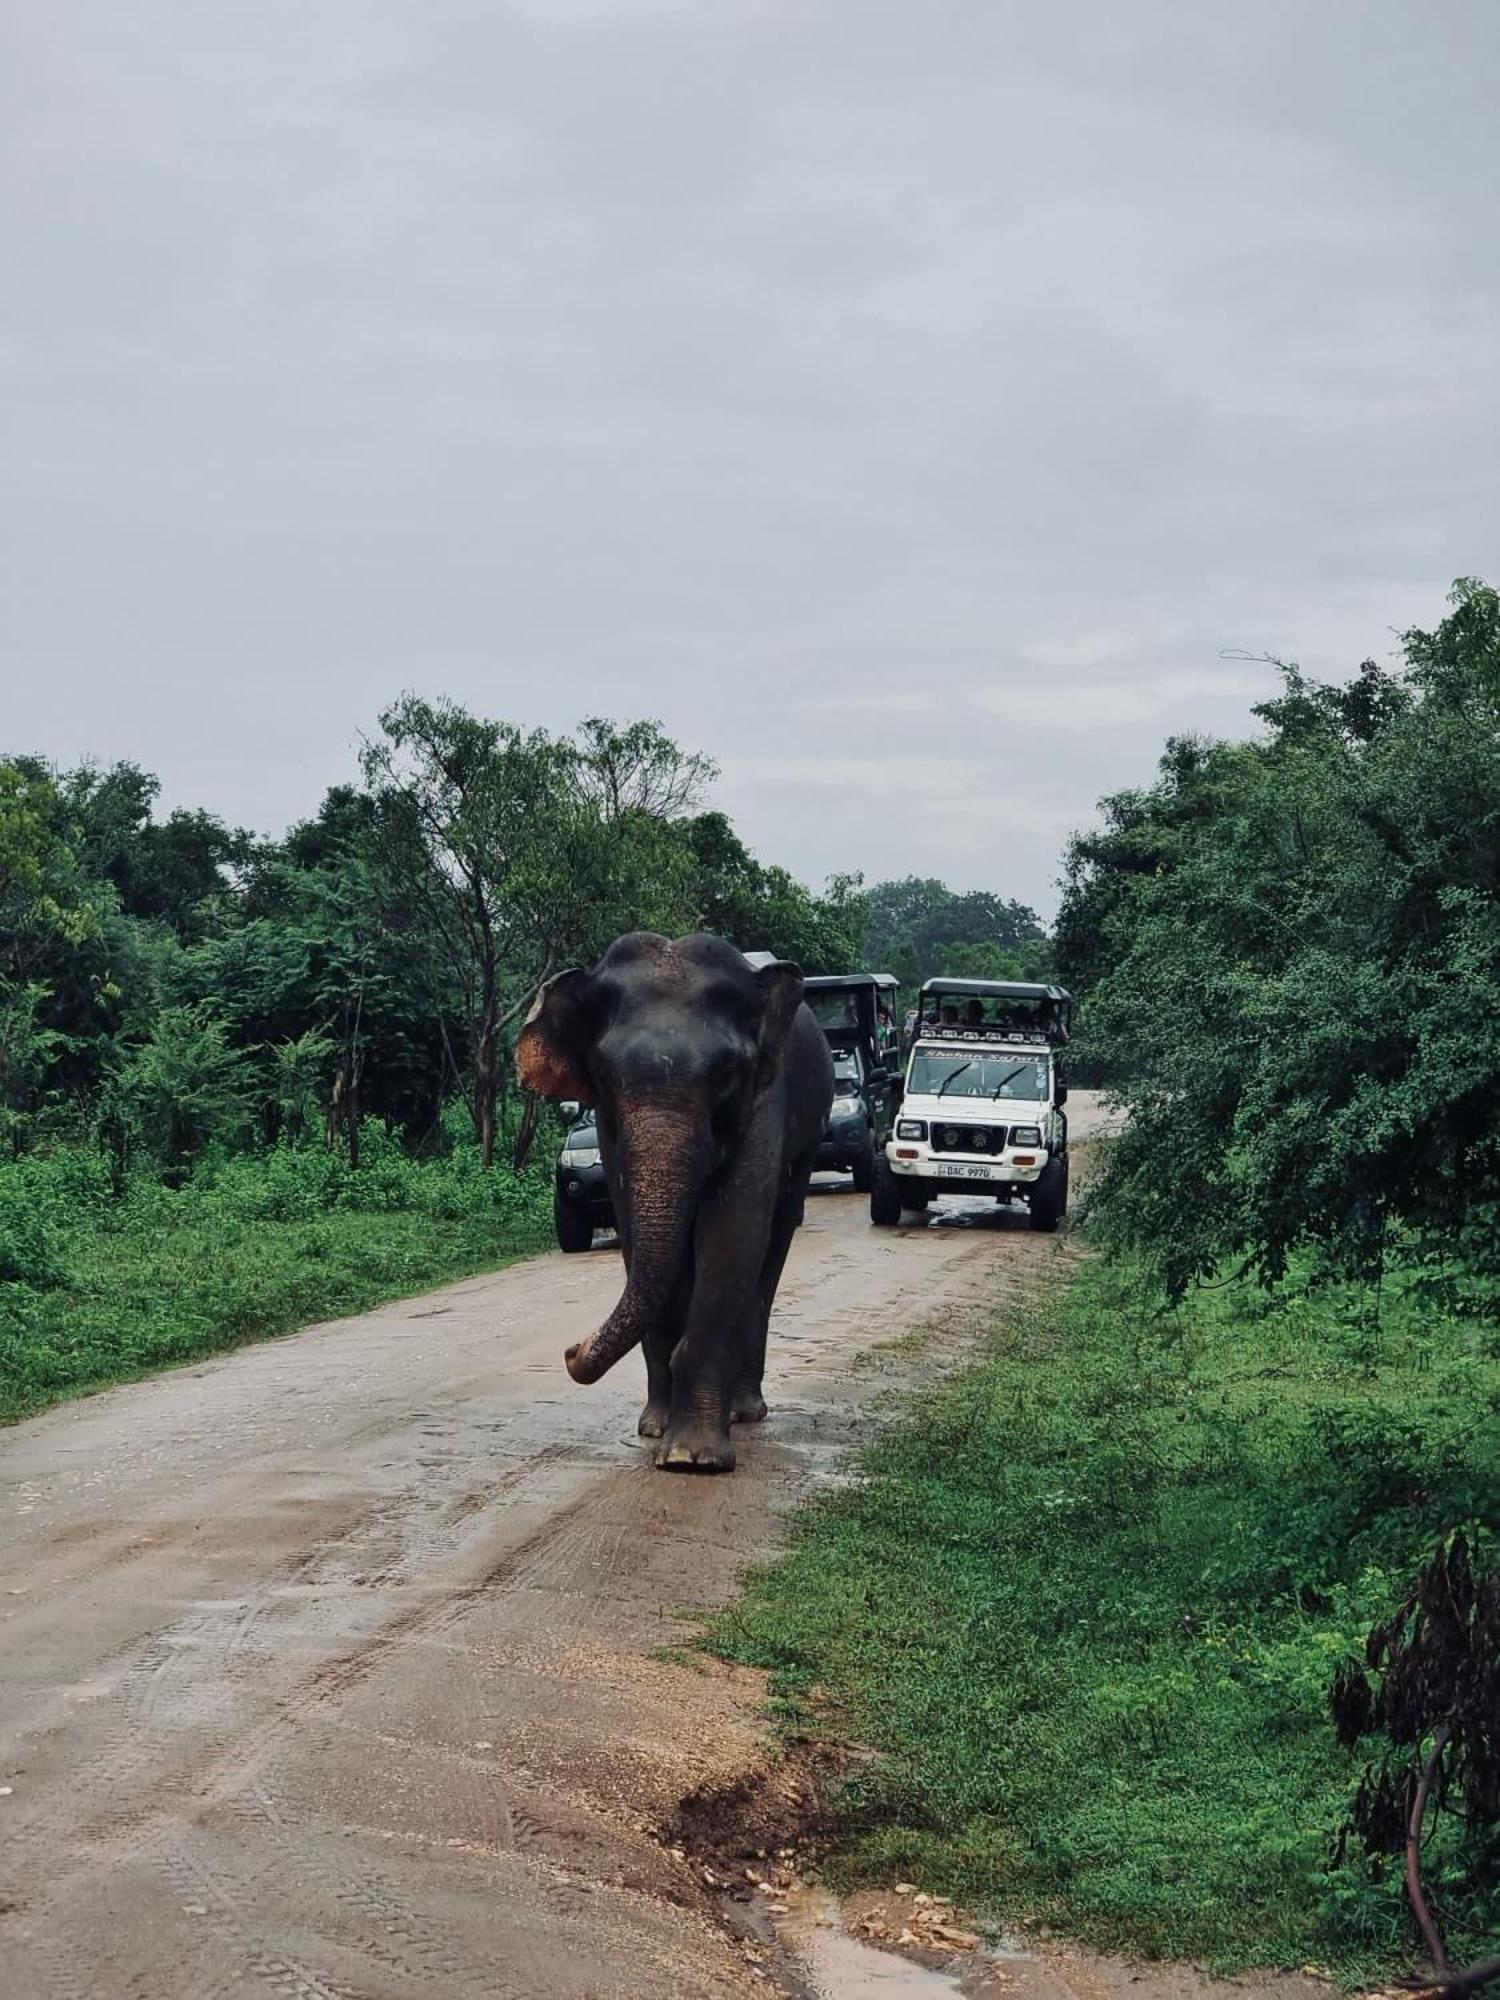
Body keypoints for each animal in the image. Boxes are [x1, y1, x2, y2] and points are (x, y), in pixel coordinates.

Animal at [520, 932, 836, 1472]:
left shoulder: (764, 1100)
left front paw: (693, 1458)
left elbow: (733, 1227)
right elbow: (631, 1228)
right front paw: (657, 1431)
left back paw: (744, 1412)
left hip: (808, 1141)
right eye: (603, 1074)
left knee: (774, 1242)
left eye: (727, 1072)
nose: (570, 1350)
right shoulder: (607, 1132)